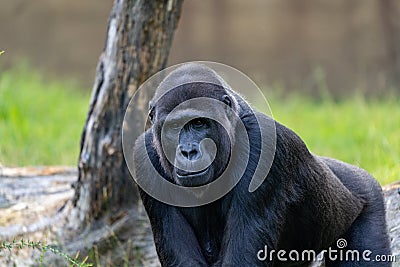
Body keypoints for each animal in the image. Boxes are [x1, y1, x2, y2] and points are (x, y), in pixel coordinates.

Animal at [132, 62, 390, 266]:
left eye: (199, 123)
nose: (188, 151)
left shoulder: (263, 145)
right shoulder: (144, 158)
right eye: (174, 127)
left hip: (369, 197)